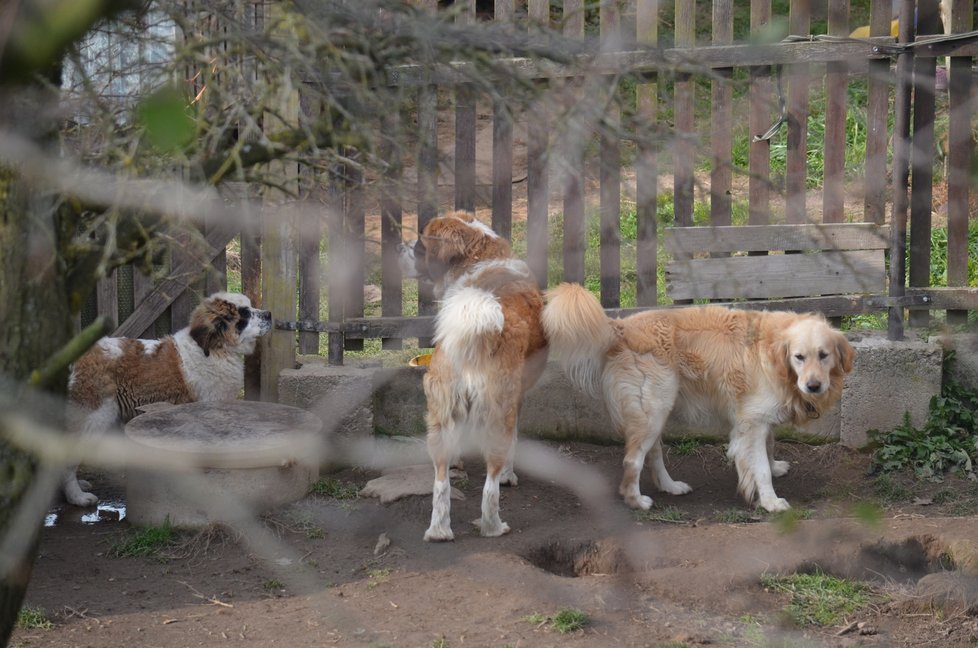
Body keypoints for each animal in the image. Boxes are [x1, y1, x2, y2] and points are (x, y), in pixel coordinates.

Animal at [398, 210, 548, 540]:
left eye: (420, 245)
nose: (401, 247)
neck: (479, 256)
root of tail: (475, 328)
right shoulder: (517, 398)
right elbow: (513, 443)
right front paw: (509, 475)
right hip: (499, 407)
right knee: (490, 487)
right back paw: (493, 526)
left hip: (440, 409)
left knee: (440, 483)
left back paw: (439, 530)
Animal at [540, 282, 856, 512]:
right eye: (799, 357)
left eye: (824, 355)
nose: (813, 386)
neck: (775, 355)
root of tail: (622, 326)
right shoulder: (752, 421)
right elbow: (759, 466)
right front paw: (770, 501)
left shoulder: (759, 419)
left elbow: (768, 449)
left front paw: (774, 467)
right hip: (652, 411)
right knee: (633, 461)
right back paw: (636, 500)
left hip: (658, 412)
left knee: (653, 454)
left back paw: (670, 486)